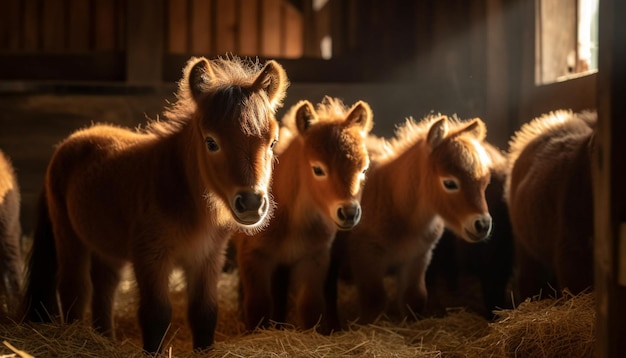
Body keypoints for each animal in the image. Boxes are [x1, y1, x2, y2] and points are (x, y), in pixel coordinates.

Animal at [23, 56, 288, 352]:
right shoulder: (150, 258)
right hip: (69, 237)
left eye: (272, 142)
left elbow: (205, 314)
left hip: (107, 247)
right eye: (211, 142)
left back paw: (104, 339)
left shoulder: (207, 258)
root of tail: (69, 142)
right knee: (75, 289)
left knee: (104, 286)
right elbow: (156, 316)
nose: (252, 203)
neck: (185, 199)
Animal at [233, 97, 370, 332]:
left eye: (363, 170)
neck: (293, 219)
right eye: (318, 169)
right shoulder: (254, 257)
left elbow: (310, 306)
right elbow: (258, 305)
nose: (349, 213)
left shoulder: (314, 258)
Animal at [326, 113, 492, 326]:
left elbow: (415, 298)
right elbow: (374, 300)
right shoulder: (367, 257)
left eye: (485, 181)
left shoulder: (418, 256)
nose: (482, 225)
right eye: (449, 183)